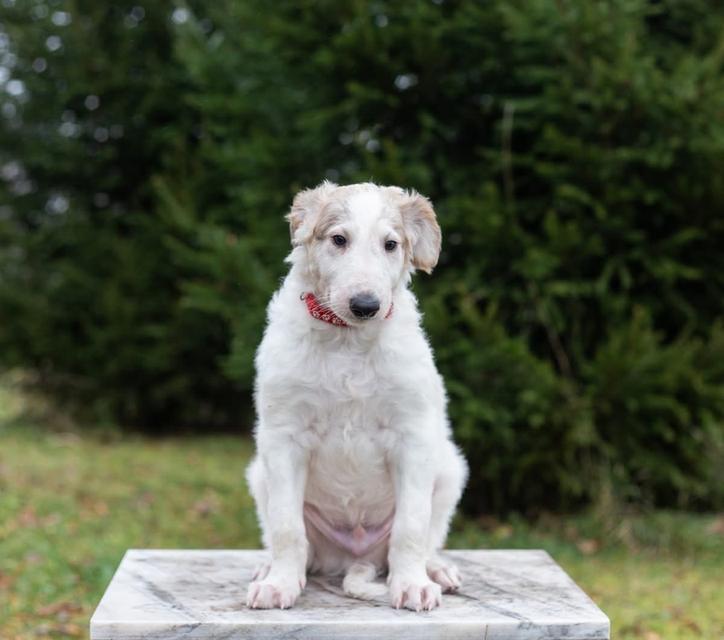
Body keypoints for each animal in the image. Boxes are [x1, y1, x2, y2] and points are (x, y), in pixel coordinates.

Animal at [246, 182, 466, 612]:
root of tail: (355, 558)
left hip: (449, 471)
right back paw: (270, 568)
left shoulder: (413, 436)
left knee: (428, 536)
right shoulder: (283, 437)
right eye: (338, 239)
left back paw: (435, 570)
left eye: (391, 244)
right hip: (259, 476)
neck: (347, 340)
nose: (366, 305)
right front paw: (279, 584)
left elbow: (411, 526)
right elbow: (285, 526)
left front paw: (412, 584)